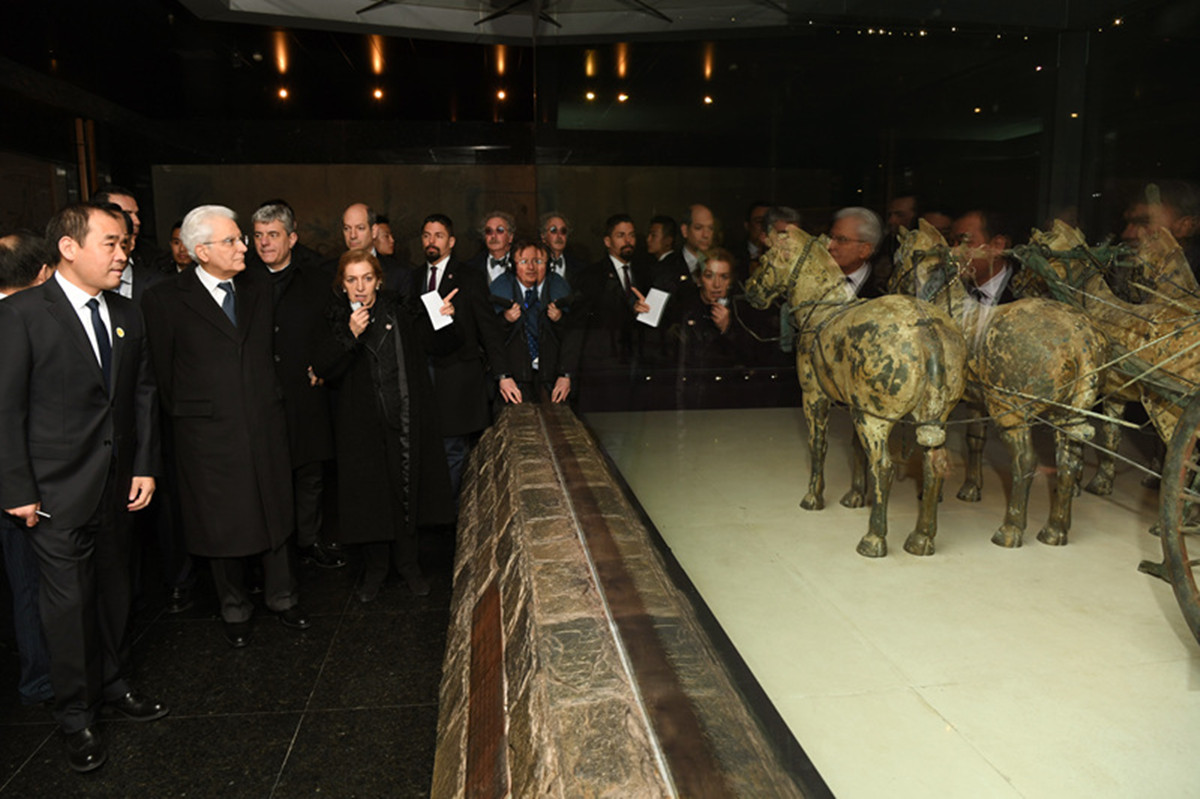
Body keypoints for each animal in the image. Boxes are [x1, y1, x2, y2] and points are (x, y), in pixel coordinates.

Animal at [748, 224, 964, 554]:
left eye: (765, 257)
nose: (750, 289)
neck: (823, 309)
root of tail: (927, 331)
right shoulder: (854, 406)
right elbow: (855, 450)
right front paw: (855, 497)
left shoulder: (814, 397)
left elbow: (818, 445)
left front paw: (813, 497)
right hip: (931, 418)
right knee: (932, 465)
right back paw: (921, 538)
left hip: (873, 420)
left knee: (884, 467)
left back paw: (874, 538)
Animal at [897, 218, 1108, 544]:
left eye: (898, 256)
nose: (888, 283)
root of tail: (1081, 340)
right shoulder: (976, 402)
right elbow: (975, 440)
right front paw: (970, 488)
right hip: (1066, 415)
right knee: (1068, 461)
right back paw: (1055, 529)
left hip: (1011, 412)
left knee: (1025, 461)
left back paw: (1011, 529)